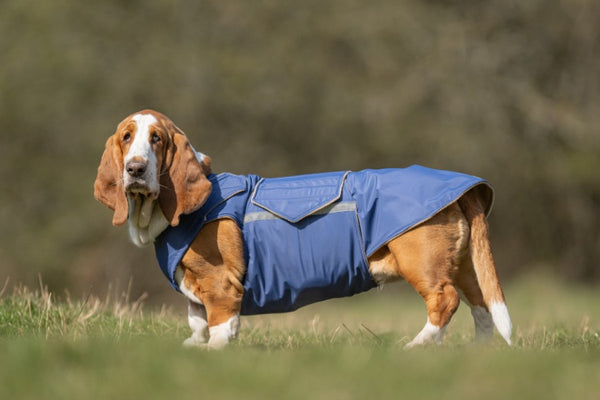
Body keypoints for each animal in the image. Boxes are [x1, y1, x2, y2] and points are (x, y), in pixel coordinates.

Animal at [94, 108, 510, 346]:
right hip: (463, 264)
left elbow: (219, 329)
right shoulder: (195, 294)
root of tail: (463, 190)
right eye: (126, 138)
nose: (134, 169)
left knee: (445, 301)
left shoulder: (220, 288)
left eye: (157, 139)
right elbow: (197, 326)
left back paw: (415, 347)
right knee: (482, 306)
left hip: (422, 263)